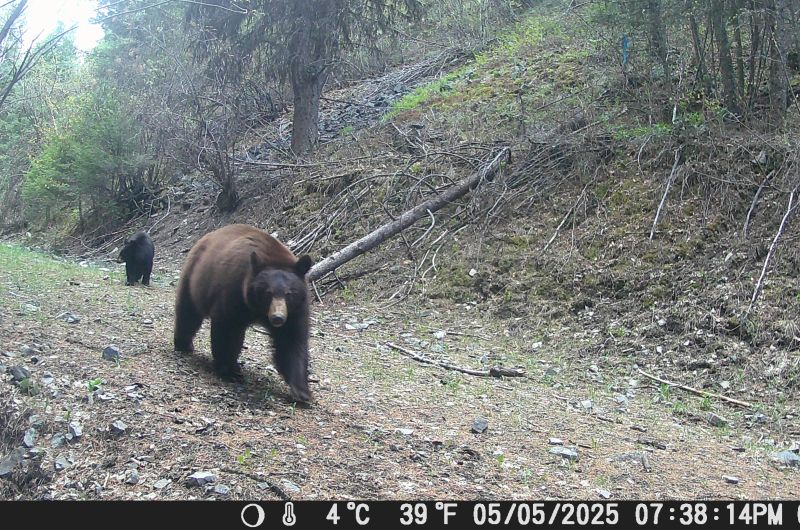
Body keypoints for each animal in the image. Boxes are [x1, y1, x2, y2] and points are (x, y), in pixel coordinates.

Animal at [173, 224, 313, 402]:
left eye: (289, 293)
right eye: (268, 293)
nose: (278, 318)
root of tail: (206, 237)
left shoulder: (295, 310)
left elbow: (291, 341)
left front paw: (302, 391)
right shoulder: (233, 290)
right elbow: (228, 329)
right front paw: (228, 370)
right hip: (195, 278)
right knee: (188, 313)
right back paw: (184, 344)